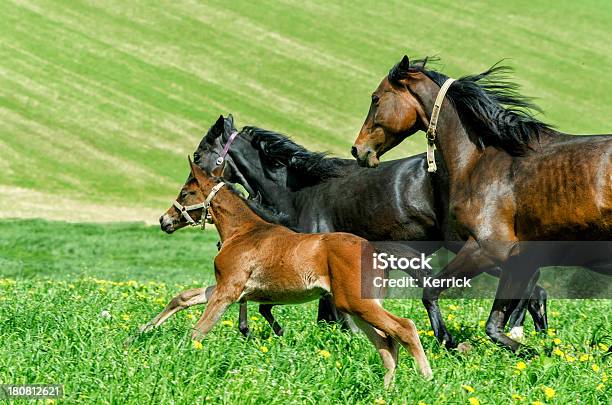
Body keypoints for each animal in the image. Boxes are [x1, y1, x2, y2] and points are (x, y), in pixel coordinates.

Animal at [144, 157, 432, 386]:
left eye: (185, 192)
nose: (164, 220)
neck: (242, 232)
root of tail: (373, 249)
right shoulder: (228, 287)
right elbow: (182, 298)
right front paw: (144, 330)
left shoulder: (228, 291)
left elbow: (199, 330)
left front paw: (179, 356)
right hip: (357, 306)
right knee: (387, 343)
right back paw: (386, 389)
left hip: (357, 304)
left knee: (405, 328)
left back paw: (427, 379)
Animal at [196, 115, 548, 340]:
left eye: (199, 155)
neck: (301, 192)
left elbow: (330, 314)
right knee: (535, 289)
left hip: (471, 247)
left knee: (530, 284)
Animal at [352, 54, 608, 350]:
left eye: (376, 98)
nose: (358, 150)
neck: (480, 161)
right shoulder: (517, 260)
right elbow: (496, 323)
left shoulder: (485, 250)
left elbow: (432, 291)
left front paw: (450, 342)